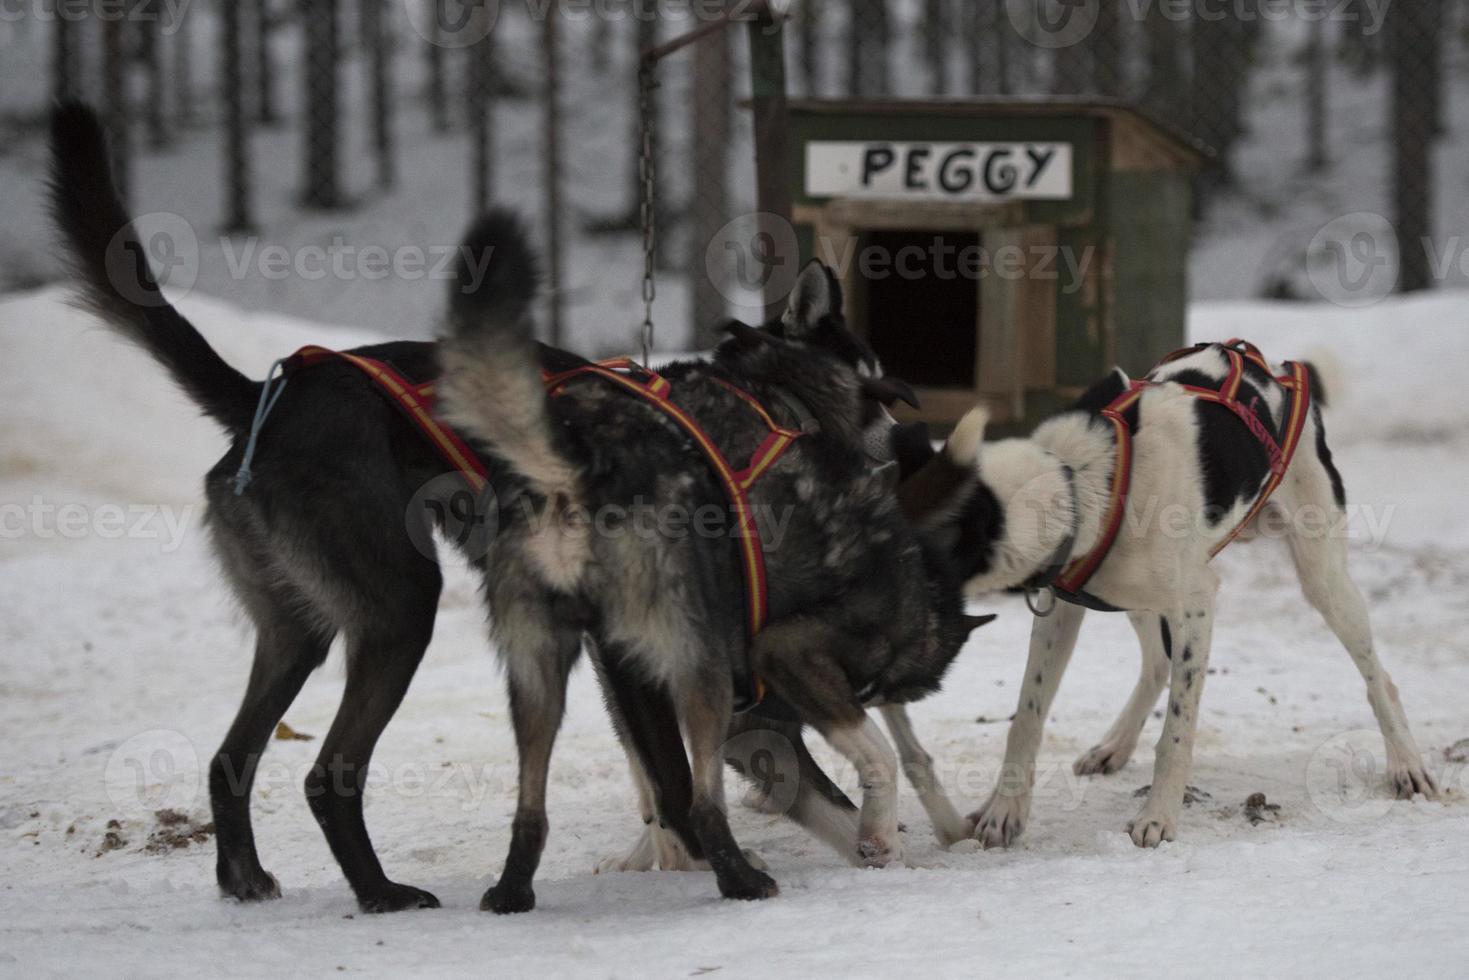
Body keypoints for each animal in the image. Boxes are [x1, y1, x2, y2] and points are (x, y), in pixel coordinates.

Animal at [899, 346, 1439, 852]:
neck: (1084, 476)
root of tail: (1278, 369)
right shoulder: (1063, 609)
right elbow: (1026, 717)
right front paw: (1003, 809)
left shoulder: (1198, 604)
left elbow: (1176, 732)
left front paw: (1158, 816)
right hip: (1130, 595)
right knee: (1157, 662)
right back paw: (1114, 746)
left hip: (1321, 576)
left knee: (1379, 679)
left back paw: (1406, 763)